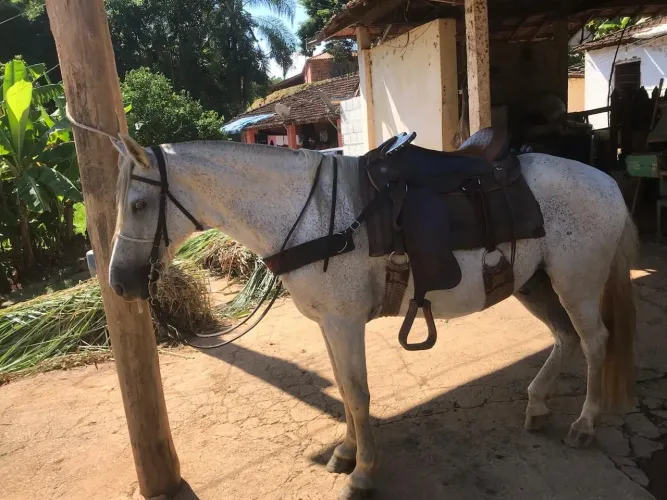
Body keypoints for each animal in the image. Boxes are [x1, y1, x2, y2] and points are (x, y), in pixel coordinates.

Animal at [109, 132, 637, 500]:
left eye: (138, 204)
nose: (118, 282)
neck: (312, 214)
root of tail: (607, 182)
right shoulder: (328, 324)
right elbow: (344, 391)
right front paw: (345, 452)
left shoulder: (344, 323)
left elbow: (359, 394)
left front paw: (362, 473)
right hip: (535, 283)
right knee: (565, 339)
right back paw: (538, 404)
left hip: (576, 284)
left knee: (594, 342)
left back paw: (585, 423)